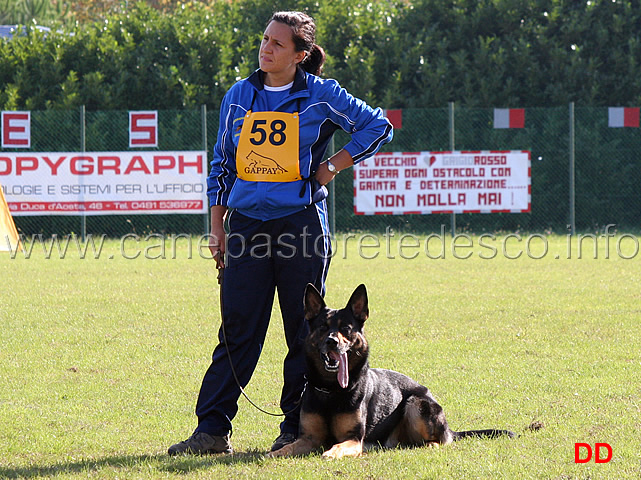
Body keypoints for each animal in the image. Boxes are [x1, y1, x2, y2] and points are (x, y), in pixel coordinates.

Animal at [266, 284, 516, 460]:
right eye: (322, 328)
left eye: (346, 329)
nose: (331, 342)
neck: (331, 389)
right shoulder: (308, 438)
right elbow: (286, 449)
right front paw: (272, 453)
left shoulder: (353, 440)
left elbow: (338, 445)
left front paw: (331, 452)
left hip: (417, 404)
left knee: (440, 442)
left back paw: (429, 445)